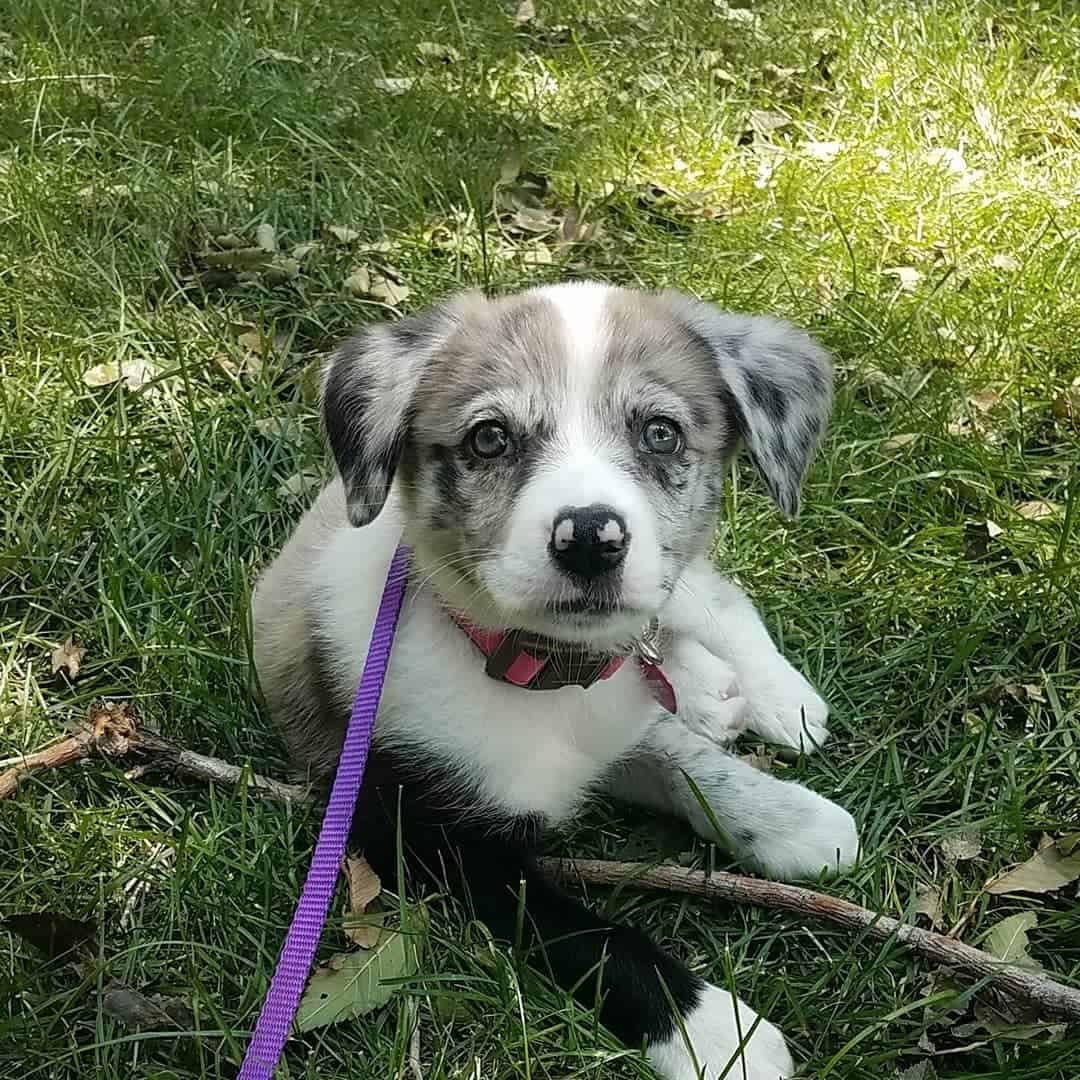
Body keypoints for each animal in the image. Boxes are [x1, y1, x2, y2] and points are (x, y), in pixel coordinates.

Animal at [252, 280, 859, 1080]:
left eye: (661, 434)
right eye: (489, 439)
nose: (592, 540)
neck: (544, 673)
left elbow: (685, 760)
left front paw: (791, 816)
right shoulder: (418, 828)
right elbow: (588, 935)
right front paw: (716, 1031)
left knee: (713, 595)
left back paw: (776, 697)